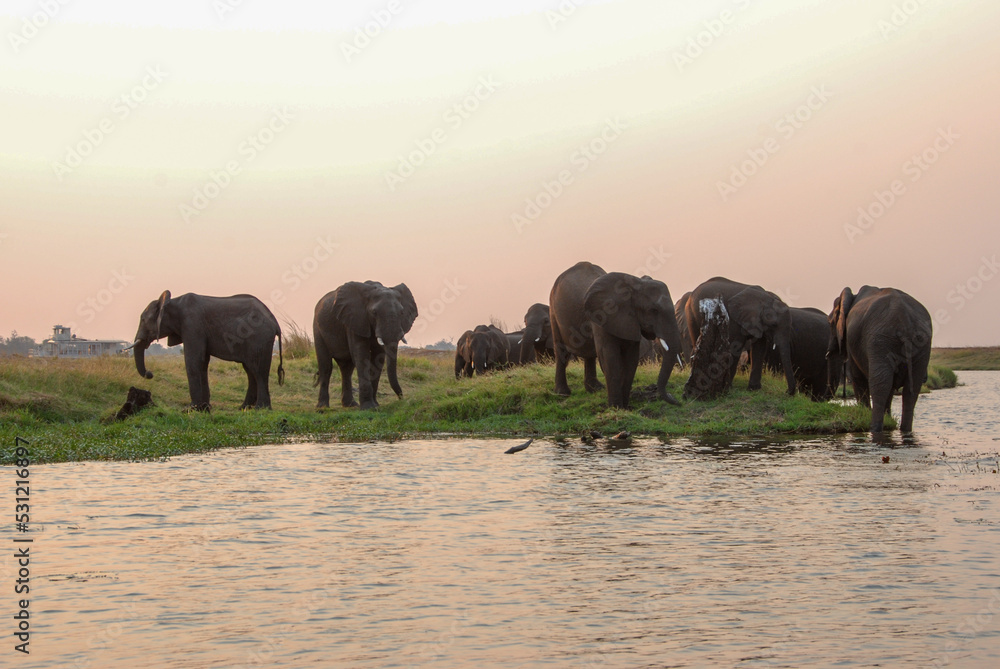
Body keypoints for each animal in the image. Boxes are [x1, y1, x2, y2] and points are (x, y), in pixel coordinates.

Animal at [131, 291, 284, 411]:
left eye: (143, 320)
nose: (150, 373)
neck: (172, 301)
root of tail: (275, 322)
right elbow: (203, 362)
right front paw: (204, 408)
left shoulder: (192, 324)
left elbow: (193, 360)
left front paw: (191, 409)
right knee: (250, 371)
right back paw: (244, 408)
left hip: (259, 338)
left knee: (258, 370)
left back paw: (260, 409)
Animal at [313, 281, 417, 410]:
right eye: (374, 313)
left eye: (402, 312)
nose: (401, 398)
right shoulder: (355, 319)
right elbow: (361, 355)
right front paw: (369, 408)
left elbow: (378, 358)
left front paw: (375, 405)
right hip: (318, 329)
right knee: (326, 366)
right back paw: (322, 408)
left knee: (347, 369)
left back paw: (350, 405)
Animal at [549, 261, 685, 409]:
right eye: (653, 310)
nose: (676, 400)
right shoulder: (602, 316)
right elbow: (609, 356)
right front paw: (616, 407)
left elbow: (631, 358)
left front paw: (624, 407)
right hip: (553, 309)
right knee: (561, 350)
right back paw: (562, 393)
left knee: (589, 354)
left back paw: (595, 389)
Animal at [827, 286, 932, 434]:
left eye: (830, 323)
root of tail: (906, 320)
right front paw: (888, 419)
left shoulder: (851, 341)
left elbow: (858, 377)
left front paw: (864, 413)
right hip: (922, 343)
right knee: (911, 389)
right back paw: (905, 430)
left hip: (880, 340)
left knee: (880, 384)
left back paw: (874, 429)